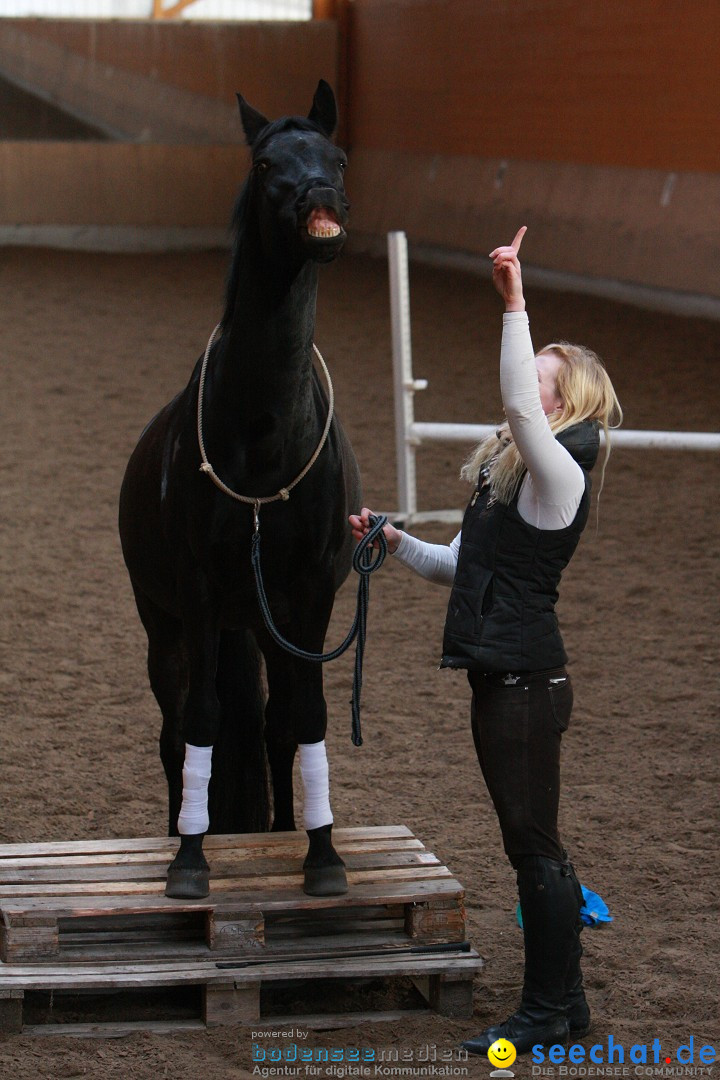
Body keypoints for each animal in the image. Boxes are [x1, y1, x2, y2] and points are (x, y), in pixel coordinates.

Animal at [121, 79, 367, 898]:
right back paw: (179, 832)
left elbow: (304, 718)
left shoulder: (310, 595)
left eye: (337, 157)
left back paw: (276, 832)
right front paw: (191, 862)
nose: (320, 199)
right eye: (264, 164)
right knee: (174, 729)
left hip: (262, 621)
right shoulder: (197, 592)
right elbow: (200, 720)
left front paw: (320, 857)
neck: (262, 430)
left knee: (270, 724)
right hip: (166, 625)